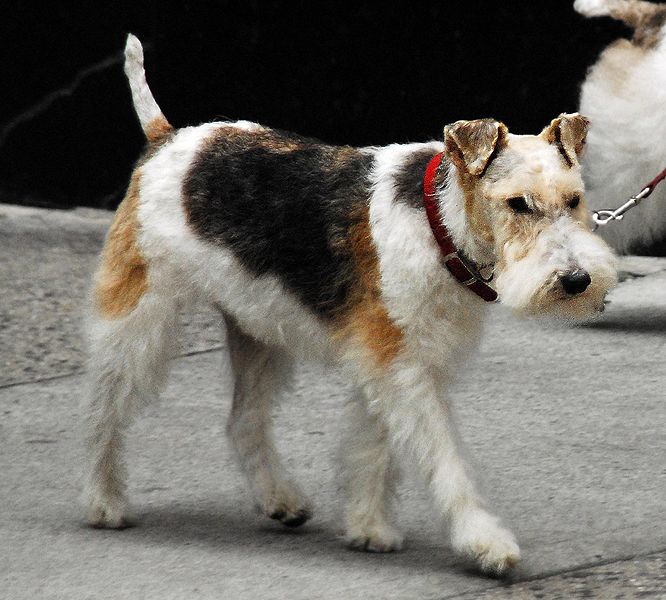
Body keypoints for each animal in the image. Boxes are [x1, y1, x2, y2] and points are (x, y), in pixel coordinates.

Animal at [84, 34, 616, 576]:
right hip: (139, 319)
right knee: (104, 412)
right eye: (517, 203)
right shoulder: (398, 362)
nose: (576, 280)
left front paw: (367, 527)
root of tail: (168, 138)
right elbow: (443, 459)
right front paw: (485, 542)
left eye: (574, 200)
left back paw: (280, 500)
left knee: (243, 420)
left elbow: (373, 446)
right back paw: (104, 503)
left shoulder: (393, 359)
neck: (440, 225)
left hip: (257, 327)